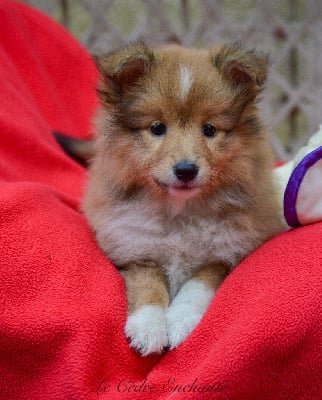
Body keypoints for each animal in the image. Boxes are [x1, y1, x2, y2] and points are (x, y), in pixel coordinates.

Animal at [78, 43, 284, 356]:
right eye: (157, 128)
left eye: (209, 129)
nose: (186, 170)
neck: (180, 213)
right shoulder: (135, 251)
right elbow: (148, 286)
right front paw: (149, 328)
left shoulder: (225, 254)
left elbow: (197, 285)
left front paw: (179, 322)